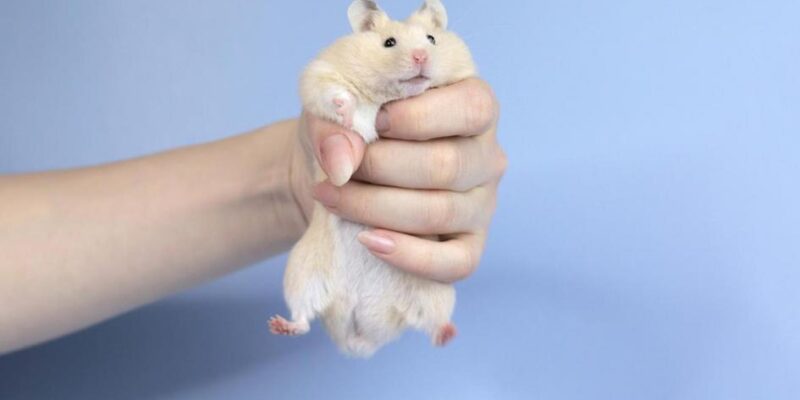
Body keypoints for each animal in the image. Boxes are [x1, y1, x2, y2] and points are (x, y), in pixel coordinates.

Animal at [269, 0, 477, 358]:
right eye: (389, 43)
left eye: (432, 39)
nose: (421, 56)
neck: (389, 96)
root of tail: (358, 337)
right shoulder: (320, 74)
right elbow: (338, 102)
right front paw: (345, 106)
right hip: (301, 273)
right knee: (304, 317)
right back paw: (279, 325)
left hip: (434, 291)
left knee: (429, 323)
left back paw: (448, 335)